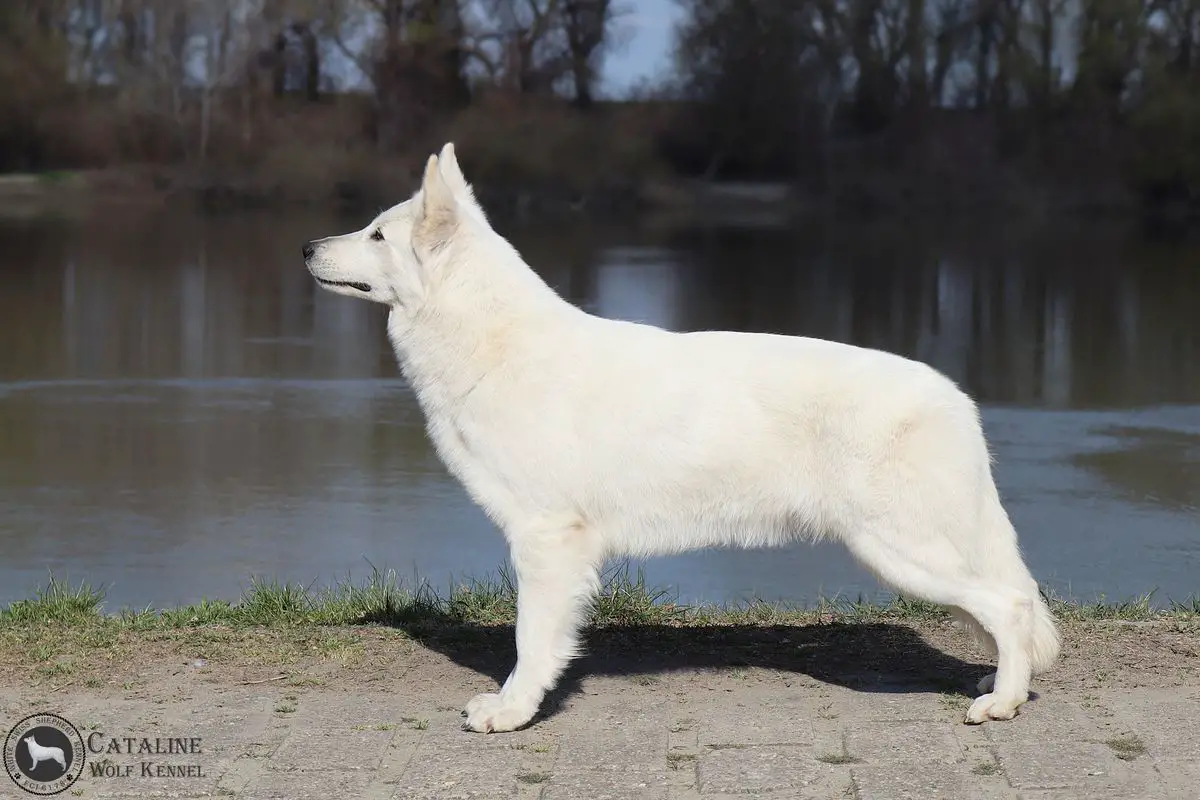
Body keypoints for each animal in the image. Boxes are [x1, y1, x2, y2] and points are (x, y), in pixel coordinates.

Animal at [303, 143, 1060, 733]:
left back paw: (1001, 703)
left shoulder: (547, 541)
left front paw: (513, 711)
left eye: (377, 235)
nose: (307, 246)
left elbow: (531, 640)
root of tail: (955, 398)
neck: (490, 341)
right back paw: (1005, 689)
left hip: (900, 550)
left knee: (1011, 605)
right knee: (1005, 608)